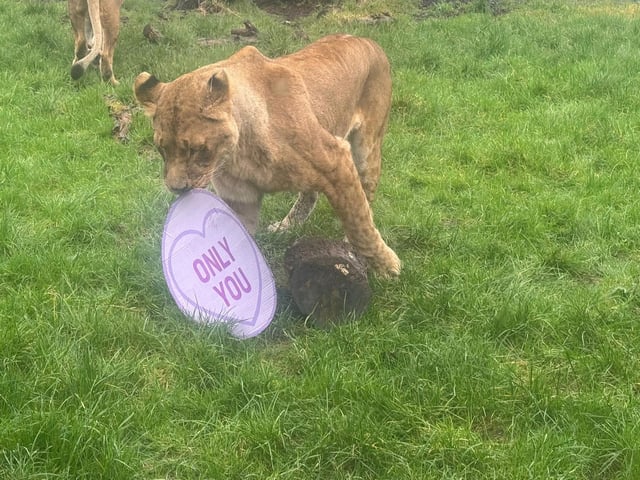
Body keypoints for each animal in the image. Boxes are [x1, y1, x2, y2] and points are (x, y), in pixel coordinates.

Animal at [134, 34, 401, 278]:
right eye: (161, 149)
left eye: (196, 149)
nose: (176, 188)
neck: (238, 155)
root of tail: (365, 39)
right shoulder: (240, 198)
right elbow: (236, 240)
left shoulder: (336, 159)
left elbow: (359, 221)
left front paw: (387, 266)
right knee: (310, 192)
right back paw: (287, 225)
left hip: (367, 147)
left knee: (366, 196)